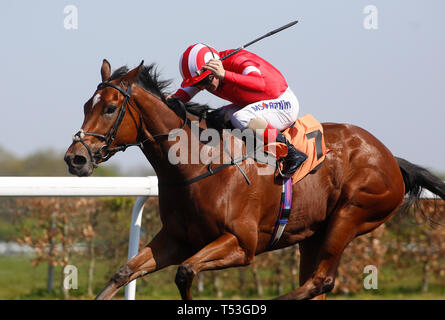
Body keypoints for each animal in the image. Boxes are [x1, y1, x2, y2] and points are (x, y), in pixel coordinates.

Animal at [63, 60, 444, 300]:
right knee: (315, 282)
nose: (75, 158)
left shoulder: (241, 244)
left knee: (320, 281)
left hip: (351, 215)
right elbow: (123, 273)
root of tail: (391, 158)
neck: (198, 165)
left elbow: (185, 272)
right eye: (85, 105)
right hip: (313, 234)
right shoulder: (176, 238)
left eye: (110, 108)